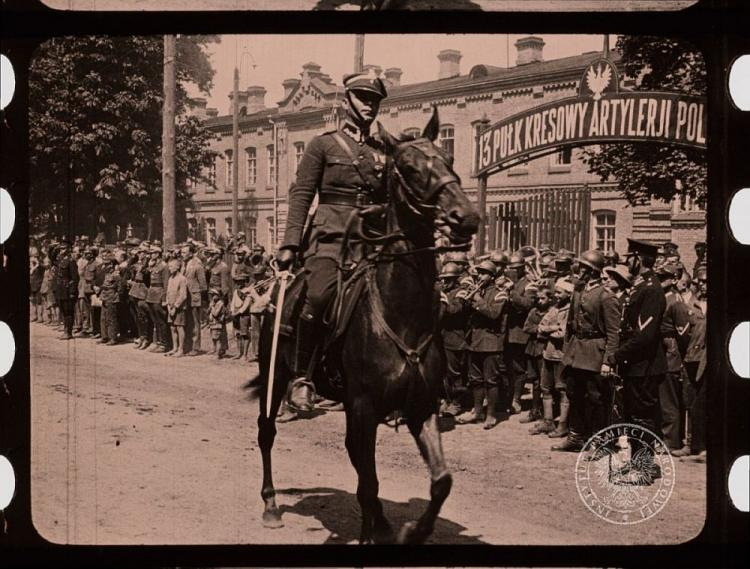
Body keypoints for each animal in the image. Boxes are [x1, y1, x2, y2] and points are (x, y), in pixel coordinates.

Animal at [250, 108, 478, 544]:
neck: (401, 315)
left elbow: (441, 481)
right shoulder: (363, 406)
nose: (467, 218)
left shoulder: (420, 406)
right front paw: (376, 529)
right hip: (276, 375)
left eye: (449, 158)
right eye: (409, 167)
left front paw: (411, 530)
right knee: (266, 432)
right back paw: (269, 505)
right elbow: (369, 482)